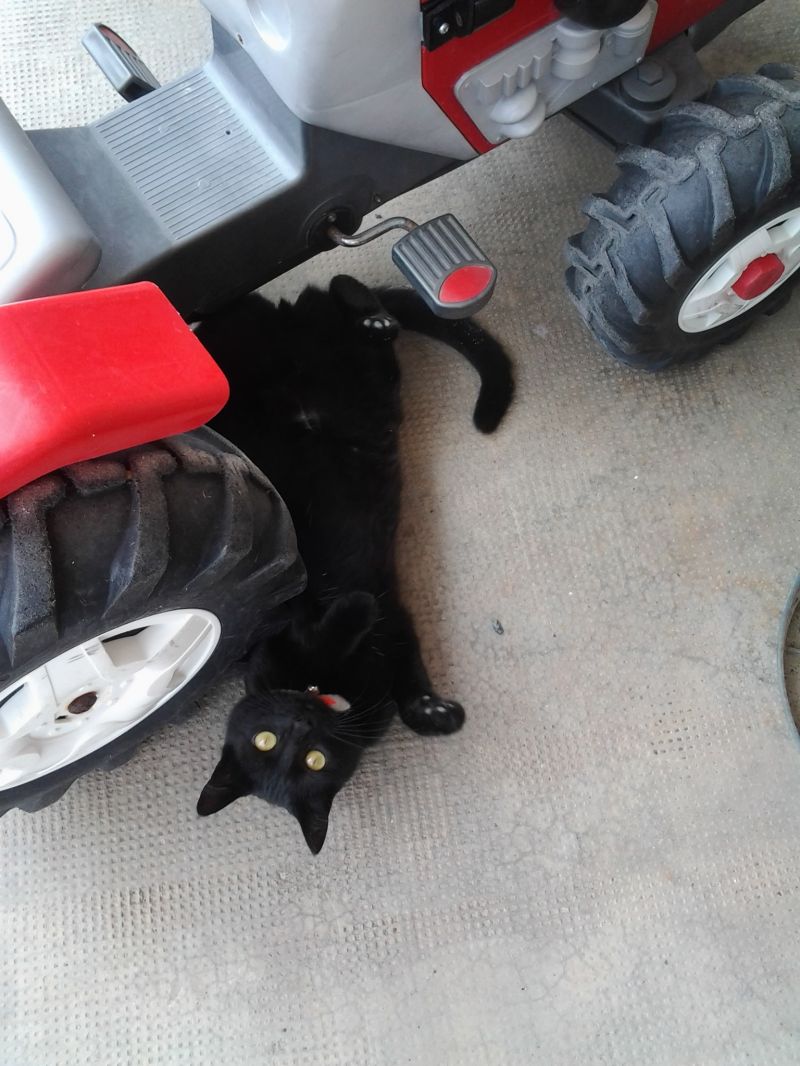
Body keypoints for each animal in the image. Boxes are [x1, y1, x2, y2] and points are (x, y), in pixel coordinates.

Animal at [194, 275, 513, 853]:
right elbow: (383, 649)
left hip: (287, 349)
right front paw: (433, 711)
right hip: (367, 379)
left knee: (336, 290)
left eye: (271, 740)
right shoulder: (392, 622)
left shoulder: (377, 616)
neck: (322, 684)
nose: (302, 723)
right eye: (283, 750)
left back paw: (371, 315)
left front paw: (433, 711)